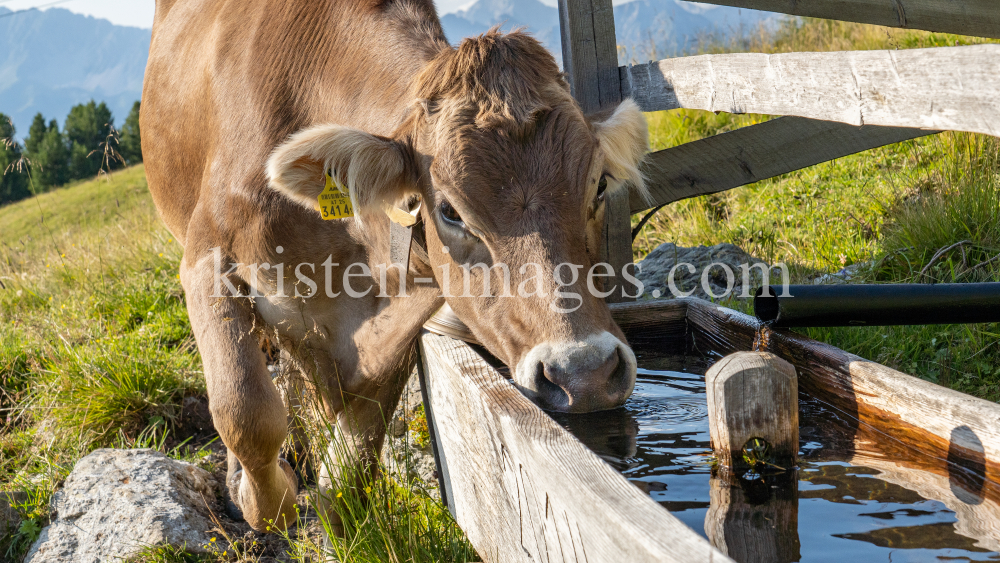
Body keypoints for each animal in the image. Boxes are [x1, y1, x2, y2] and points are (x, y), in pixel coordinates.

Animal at [143, 0, 648, 536]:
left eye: (599, 185)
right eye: (448, 210)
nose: (584, 373)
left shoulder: (398, 326)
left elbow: (349, 473)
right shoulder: (205, 257)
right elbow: (245, 412)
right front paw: (259, 498)